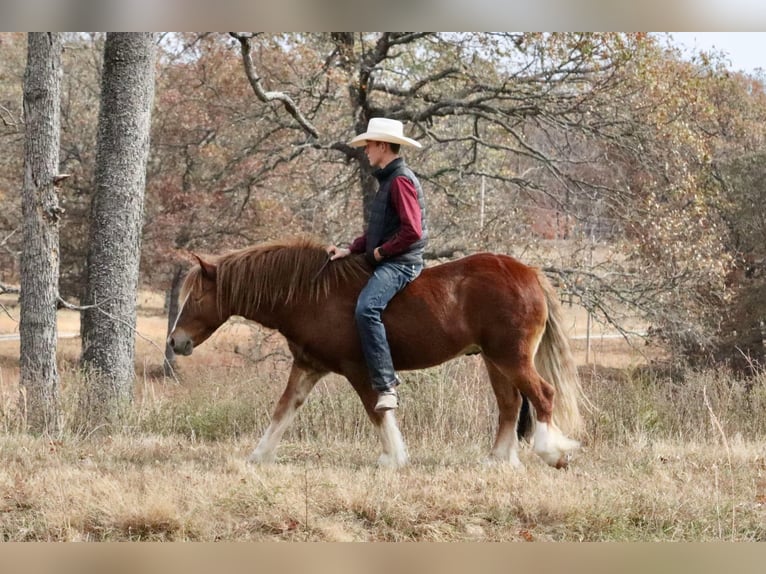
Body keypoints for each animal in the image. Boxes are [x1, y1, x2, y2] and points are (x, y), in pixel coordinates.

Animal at [170, 237, 588, 468]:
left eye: (197, 297)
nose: (176, 342)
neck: (312, 295)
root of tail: (528, 272)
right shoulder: (307, 366)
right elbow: (284, 409)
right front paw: (258, 456)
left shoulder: (358, 368)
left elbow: (377, 411)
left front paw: (394, 458)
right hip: (494, 360)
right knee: (510, 404)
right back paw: (499, 460)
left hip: (511, 357)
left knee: (543, 395)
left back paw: (552, 453)